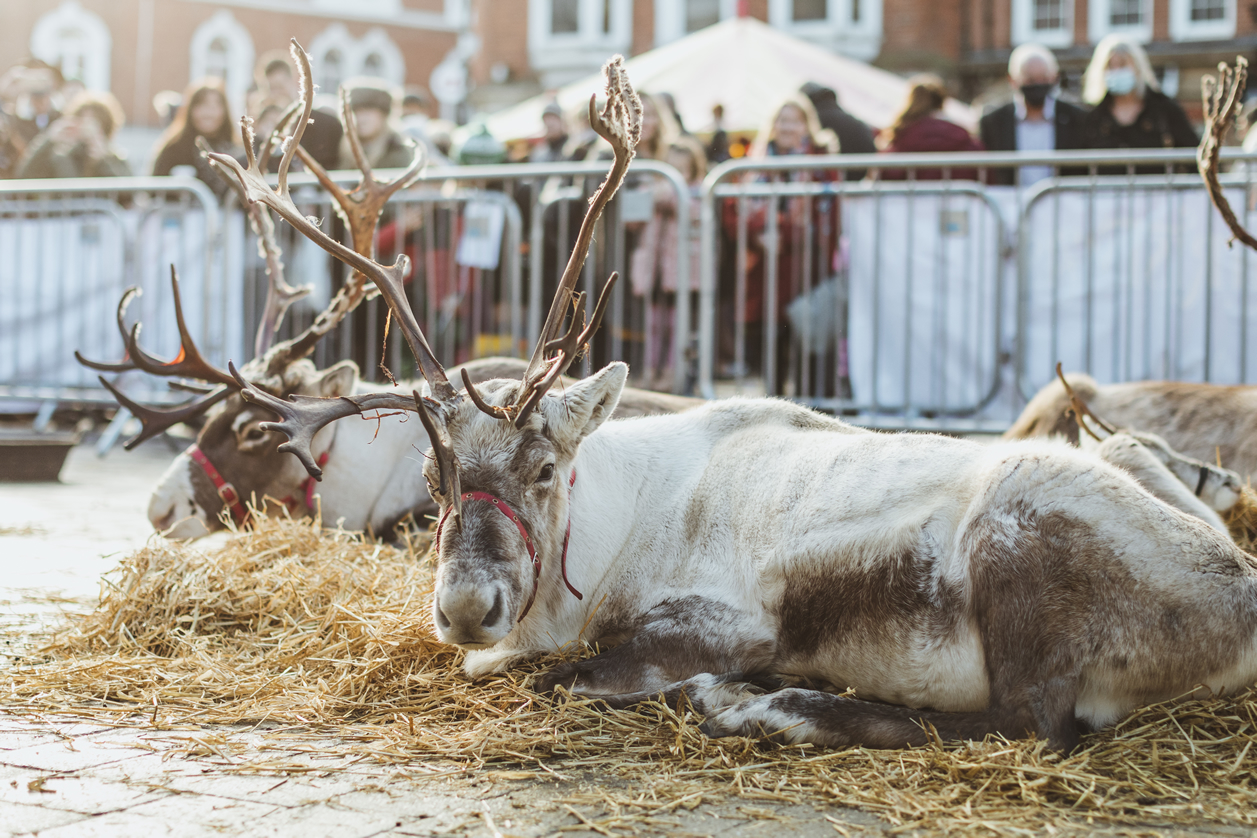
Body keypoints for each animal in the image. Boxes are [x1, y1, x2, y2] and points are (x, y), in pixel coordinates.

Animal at [209, 45, 1257, 752]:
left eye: (544, 467)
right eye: (434, 479)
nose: (466, 605)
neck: (610, 526)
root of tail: (1239, 595)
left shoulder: (723, 620)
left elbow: (555, 677)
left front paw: (706, 687)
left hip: (1018, 543)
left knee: (1027, 722)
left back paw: (767, 708)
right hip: (1121, 460)